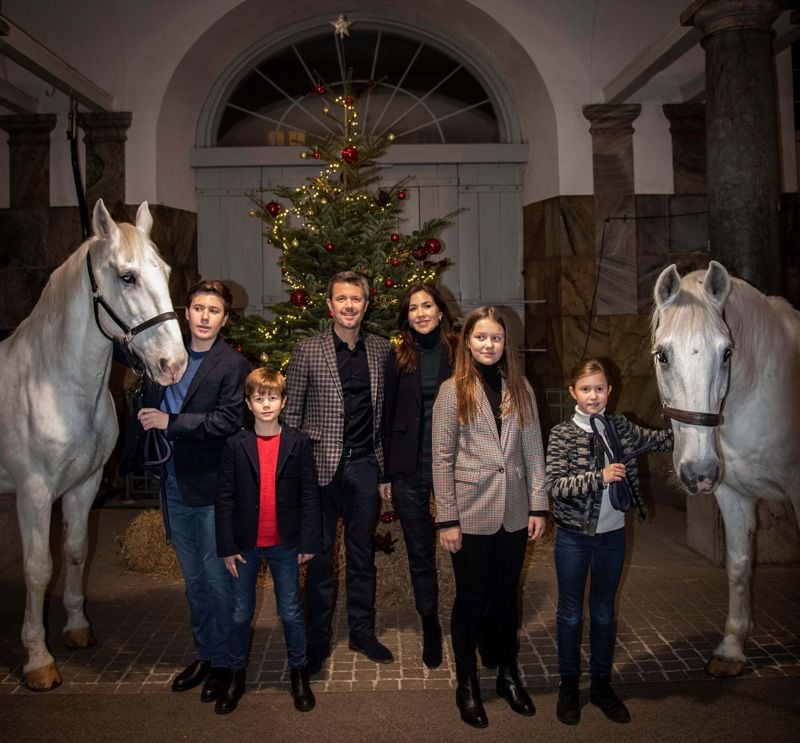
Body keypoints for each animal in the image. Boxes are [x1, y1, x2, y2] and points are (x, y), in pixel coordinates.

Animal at [0, 199, 188, 692]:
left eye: (164, 270)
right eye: (127, 277)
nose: (175, 364)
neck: (53, 382)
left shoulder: (83, 485)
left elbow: (76, 550)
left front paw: (77, 628)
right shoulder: (34, 492)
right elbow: (38, 566)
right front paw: (38, 659)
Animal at [648, 262, 800, 680]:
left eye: (727, 352)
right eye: (662, 355)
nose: (699, 472)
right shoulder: (733, 494)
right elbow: (738, 565)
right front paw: (732, 648)